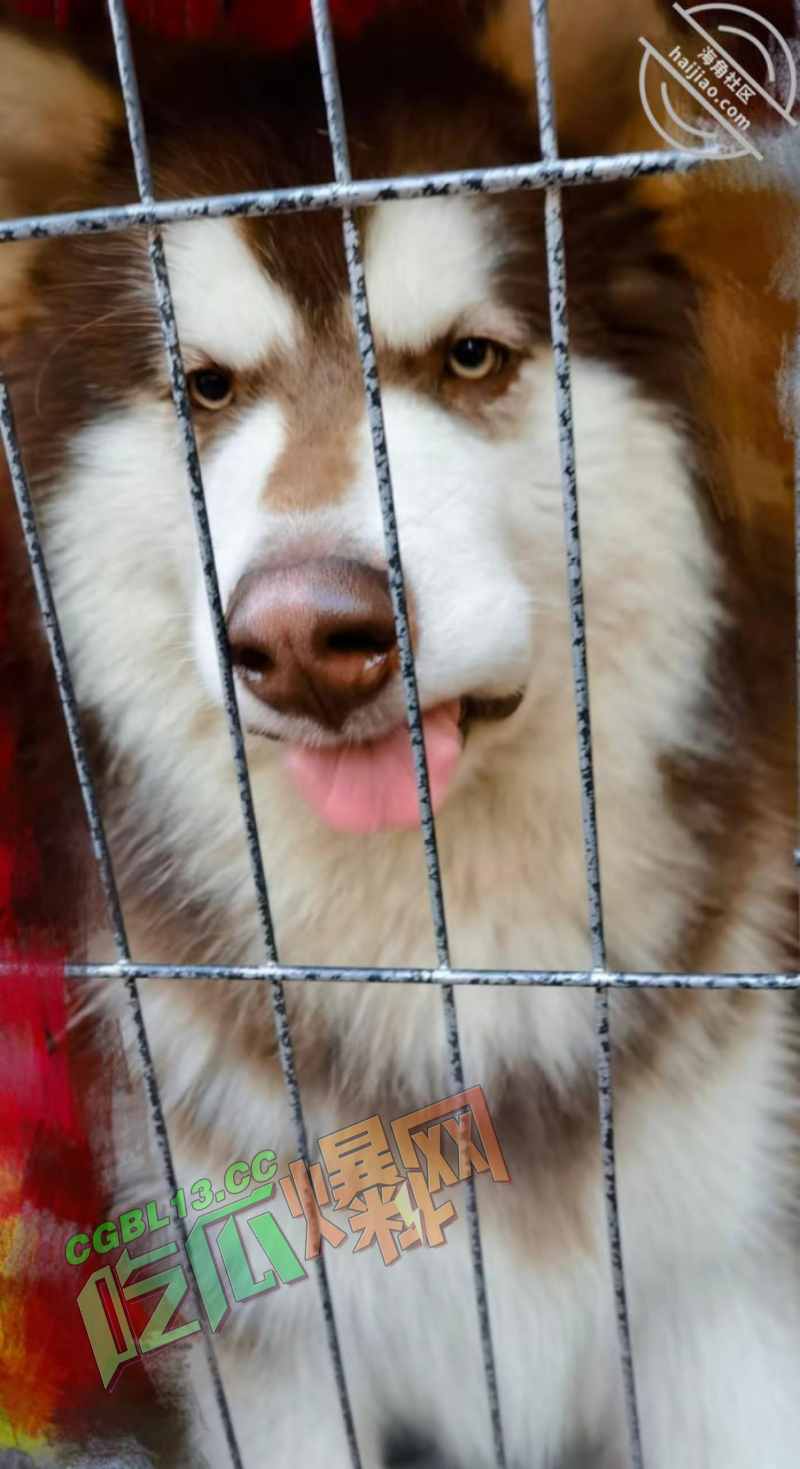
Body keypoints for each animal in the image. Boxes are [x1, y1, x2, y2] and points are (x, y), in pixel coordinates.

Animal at [1, 2, 798, 1469]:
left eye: (468, 357)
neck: (447, 959)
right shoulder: (269, 1330)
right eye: (205, 388)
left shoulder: (728, 1294)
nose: (308, 640)